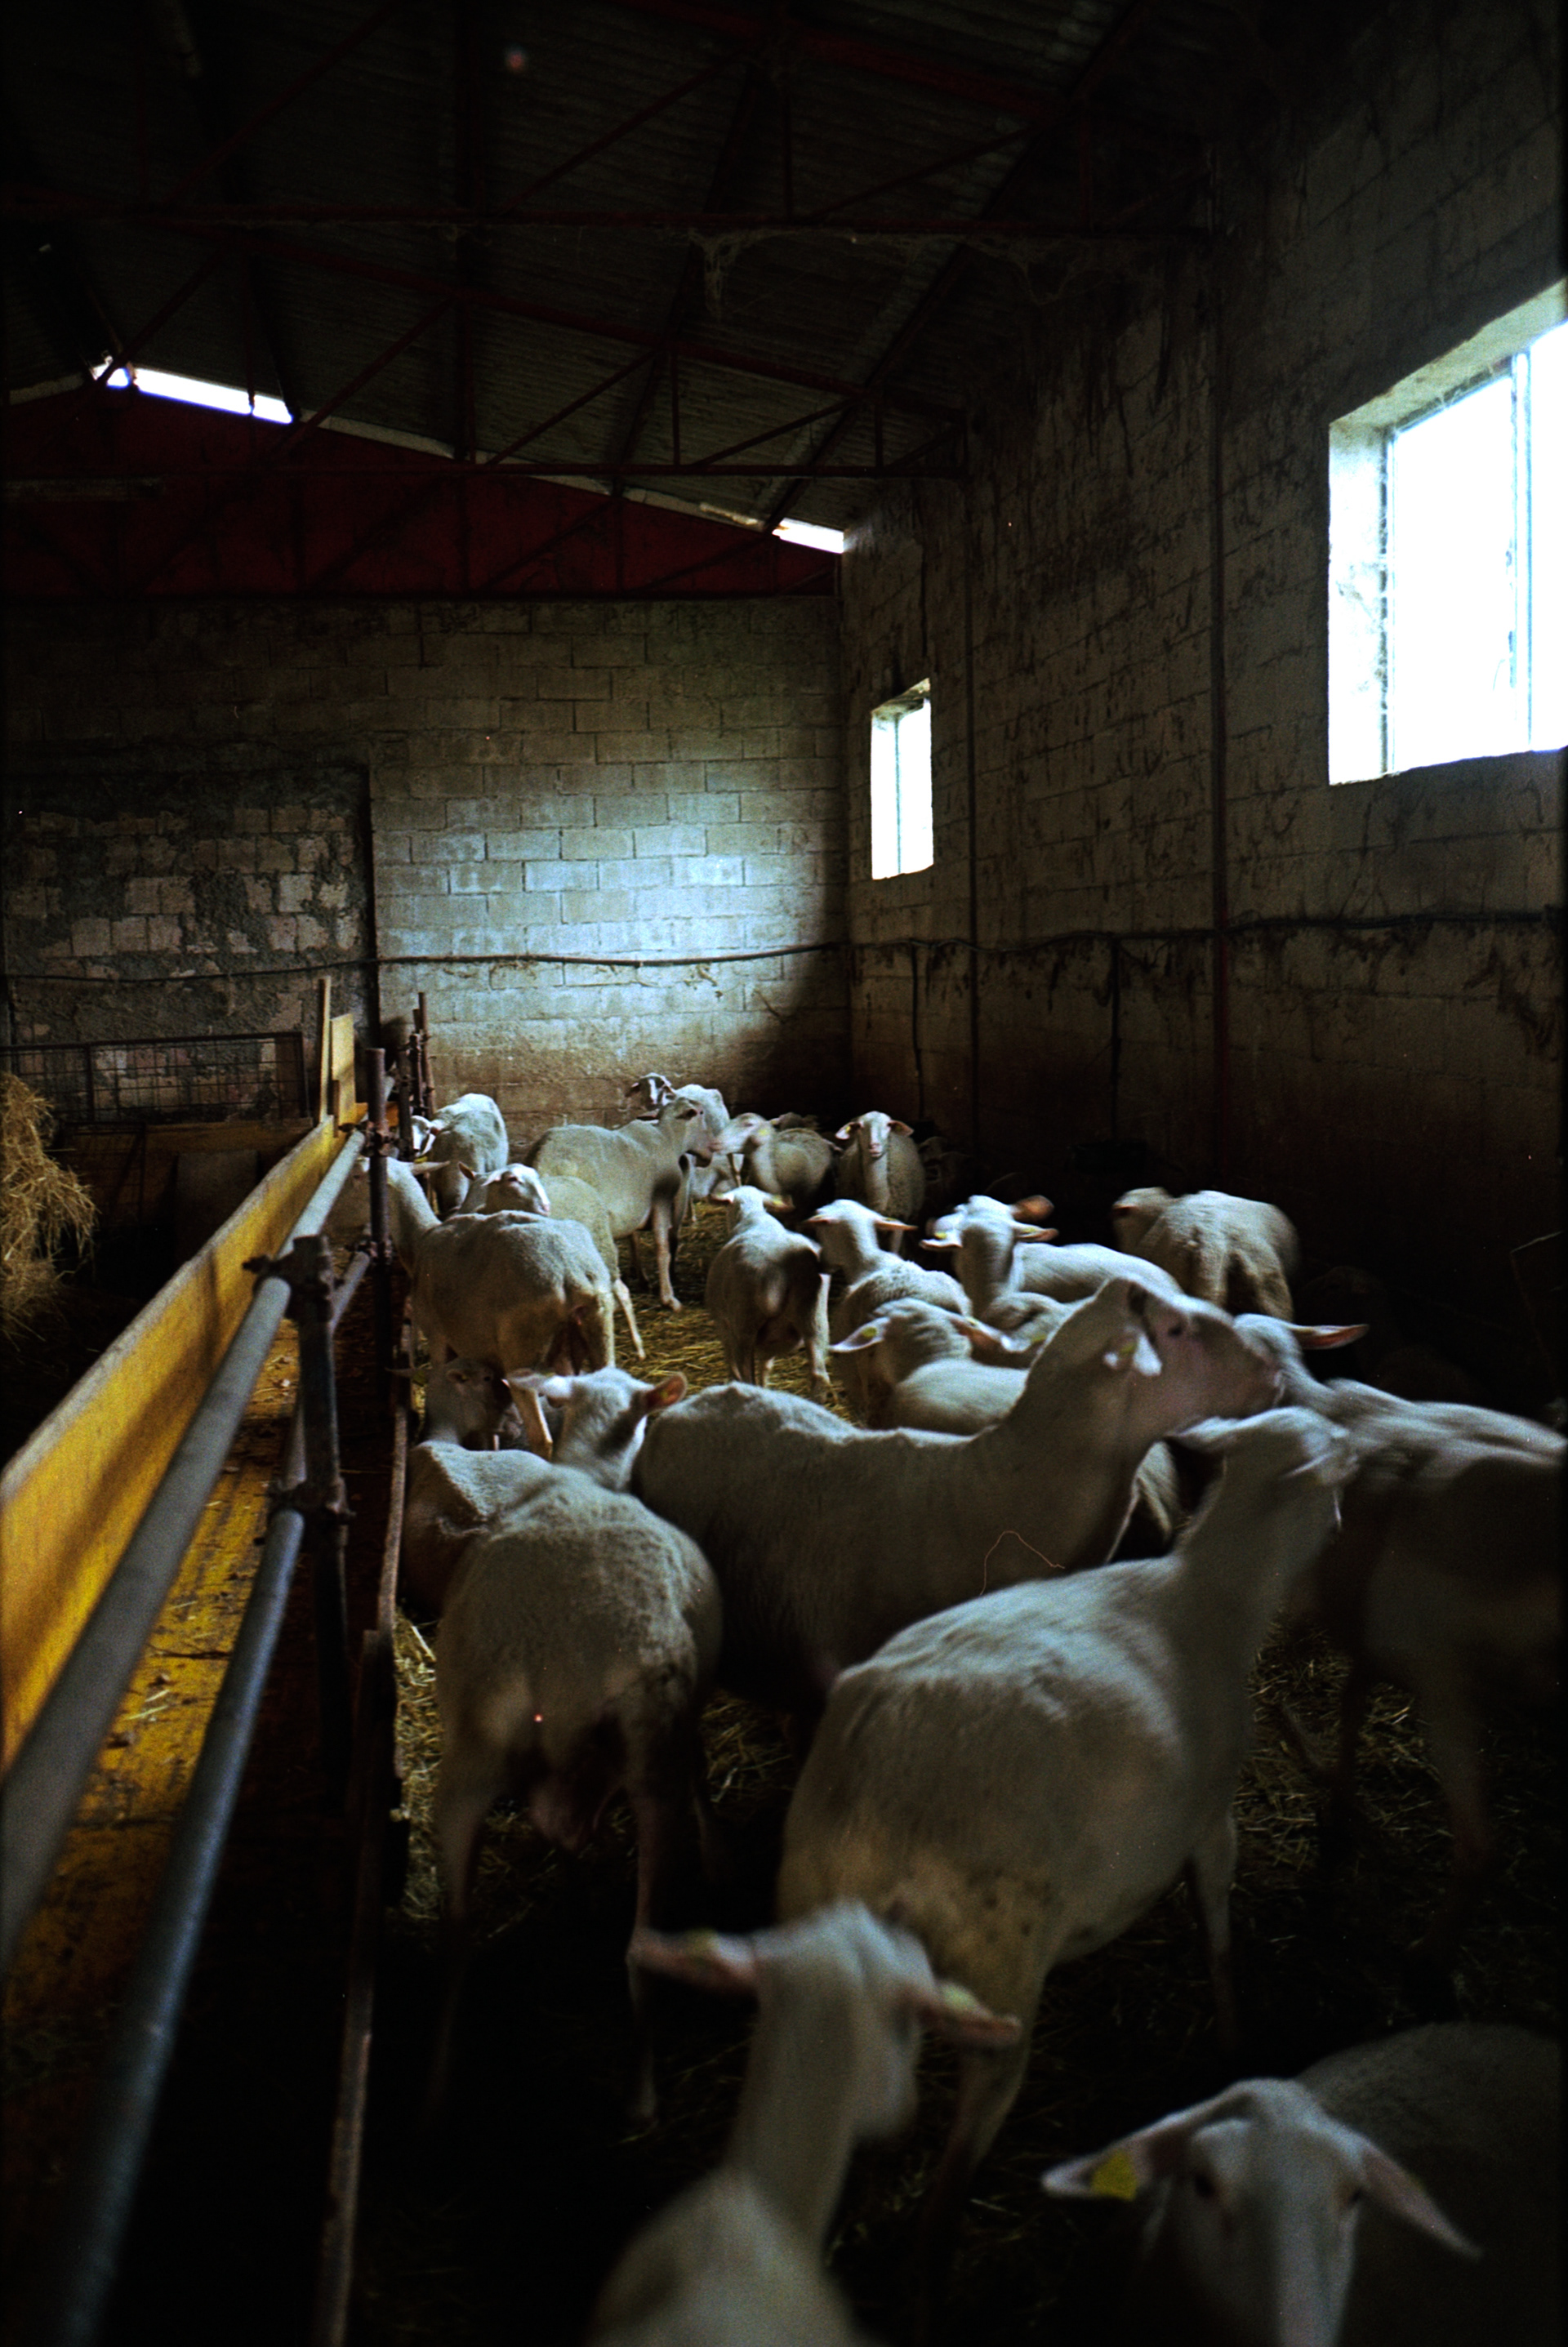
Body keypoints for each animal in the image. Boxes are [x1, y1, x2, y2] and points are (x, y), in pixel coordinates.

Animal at [430, 1459, 722, 2121]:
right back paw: (641, 2099)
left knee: (458, 1934)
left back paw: (439, 2089)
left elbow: (562, 1834)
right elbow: (700, 1772)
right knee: (641, 1947)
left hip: (467, 1765)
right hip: (652, 1750)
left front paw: (577, 1890)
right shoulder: (681, 1730)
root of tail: (555, 1663)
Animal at [528, 1095, 712, 1310]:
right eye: (701, 1113)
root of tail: (541, 1158)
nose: (711, 1152)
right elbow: (662, 1248)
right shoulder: (661, 1202)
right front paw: (669, 1298)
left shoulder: (632, 1209)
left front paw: (643, 1279)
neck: (668, 1139)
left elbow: (634, 1242)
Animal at [704, 1185, 831, 1402]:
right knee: (819, 1376)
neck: (753, 1216)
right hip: (815, 1320)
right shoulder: (770, 1341)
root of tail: (779, 1273)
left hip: (744, 1326)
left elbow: (732, 1365)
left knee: (746, 1377)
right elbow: (766, 1366)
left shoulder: (723, 1323)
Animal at [776, 1407, 1353, 2300]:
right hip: (996, 1976)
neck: (1219, 1589)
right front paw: (1233, 2043)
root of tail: (871, 1810)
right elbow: (1218, 1933)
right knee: (948, 2188)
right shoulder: (1211, 1816)